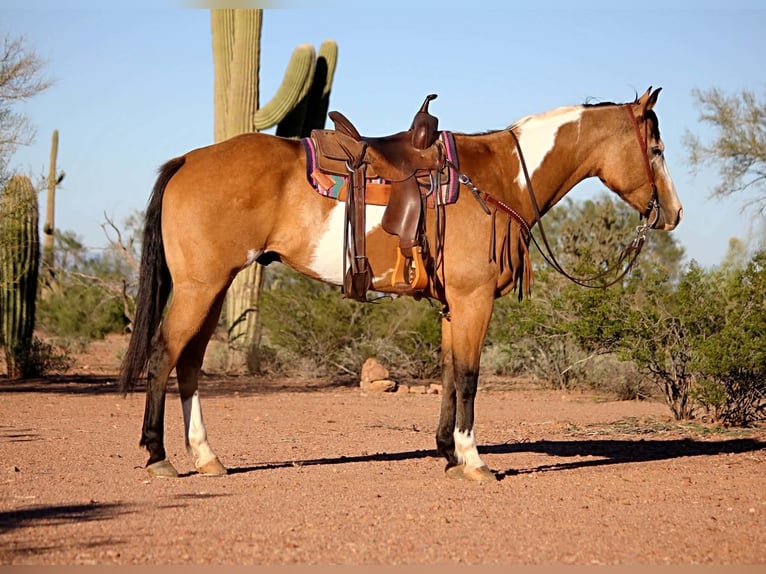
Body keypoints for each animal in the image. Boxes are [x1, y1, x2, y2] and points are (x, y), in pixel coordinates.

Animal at [119, 87, 683, 481]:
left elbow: (450, 373)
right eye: (655, 148)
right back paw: (158, 456)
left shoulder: (454, 305)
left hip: (214, 289)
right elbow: (470, 376)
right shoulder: (474, 300)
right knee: (164, 354)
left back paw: (207, 457)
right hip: (201, 287)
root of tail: (188, 160)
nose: (673, 213)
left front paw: (449, 455)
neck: (499, 177)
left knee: (190, 363)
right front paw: (475, 461)